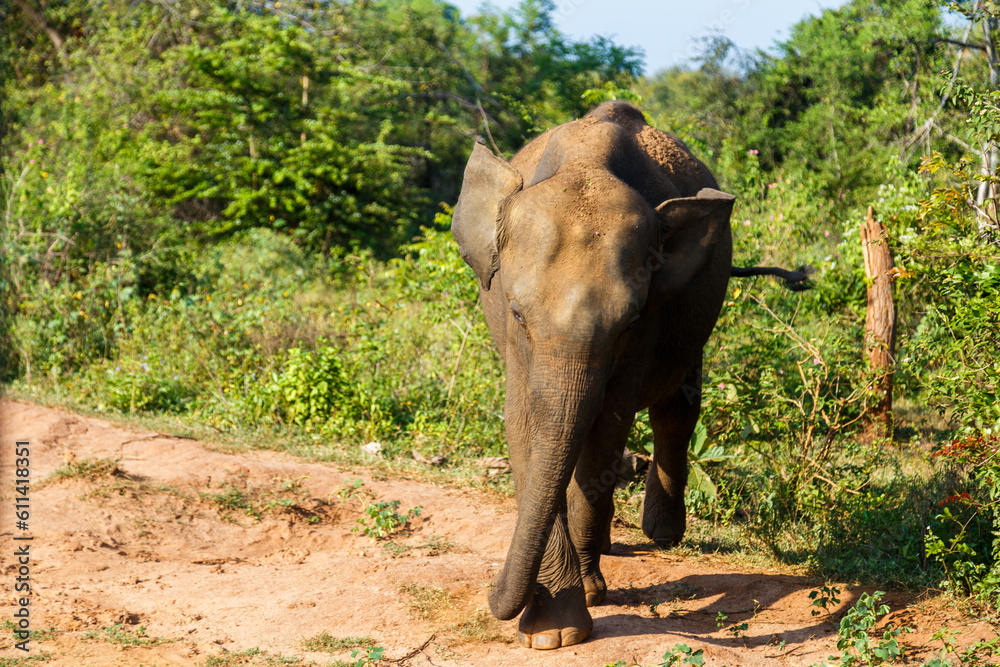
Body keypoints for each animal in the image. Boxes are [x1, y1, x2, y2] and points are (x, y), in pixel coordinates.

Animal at [451, 100, 749, 650]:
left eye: (628, 322)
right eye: (518, 313)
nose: (491, 594)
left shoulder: (649, 323)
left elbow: (605, 429)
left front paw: (573, 611)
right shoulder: (512, 339)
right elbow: (524, 428)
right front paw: (552, 631)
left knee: (676, 409)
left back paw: (659, 537)